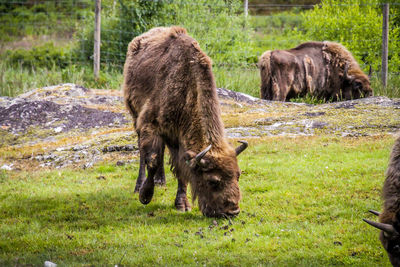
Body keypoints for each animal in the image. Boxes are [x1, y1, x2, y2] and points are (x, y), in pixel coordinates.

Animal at [122, 26, 247, 218]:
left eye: (238, 175)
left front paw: (182, 204)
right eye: (213, 181)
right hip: (135, 116)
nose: (232, 211)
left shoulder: (178, 138)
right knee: (143, 154)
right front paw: (145, 195)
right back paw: (140, 185)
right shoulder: (151, 126)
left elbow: (181, 170)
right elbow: (153, 160)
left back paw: (161, 180)